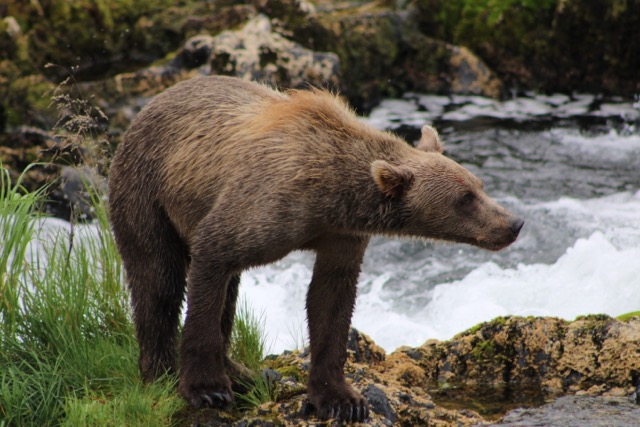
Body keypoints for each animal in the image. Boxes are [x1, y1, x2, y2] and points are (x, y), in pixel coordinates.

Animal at [107, 75, 524, 422]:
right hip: (146, 191)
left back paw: (242, 373)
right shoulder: (262, 208)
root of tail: (151, 104)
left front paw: (342, 399)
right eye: (464, 198)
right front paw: (206, 389)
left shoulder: (341, 236)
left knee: (227, 289)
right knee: (158, 278)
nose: (513, 223)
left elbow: (330, 299)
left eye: (479, 185)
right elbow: (212, 264)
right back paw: (161, 372)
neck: (331, 195)